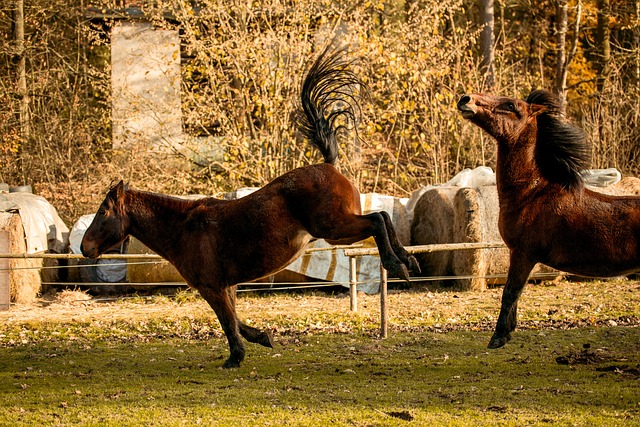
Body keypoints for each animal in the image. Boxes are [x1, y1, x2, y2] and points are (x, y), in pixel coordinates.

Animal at [81, 46, 420, 368]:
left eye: (103, 212)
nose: (85, 248)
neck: (183, 228)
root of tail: (328, 164)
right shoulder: (226, 286)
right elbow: (236, 320)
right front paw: (262, 338)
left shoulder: (212, 287)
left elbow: (227, 322)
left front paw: (235, 357)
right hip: (338, 232)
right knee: (382, 216)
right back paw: (408, 261)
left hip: (334, 227)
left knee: (376, 219)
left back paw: (397, 264)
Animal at [458, 90, 640, 348]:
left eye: (511, 105)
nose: (466, 99)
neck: (531, 194)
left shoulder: (523, 254)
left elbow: (510, 292)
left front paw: (499, 336)